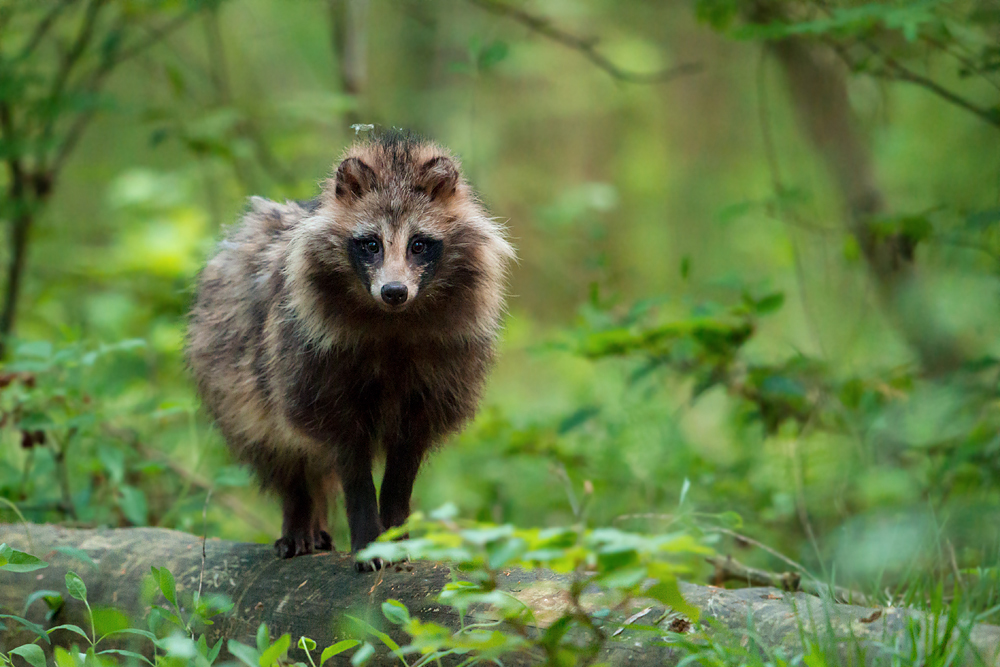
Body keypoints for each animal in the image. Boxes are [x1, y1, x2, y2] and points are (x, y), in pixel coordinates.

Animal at [188, 133, 516, 572]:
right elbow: (349, 461)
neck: (392, 320)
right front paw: (367, 535)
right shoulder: (314, 361)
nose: (394, 291)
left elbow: (404, 464)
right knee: (279, 451)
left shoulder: (443, 367)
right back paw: (299, 519)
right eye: (370, 244)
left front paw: (394, 530)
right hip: (235, 372)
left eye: (418, 244)